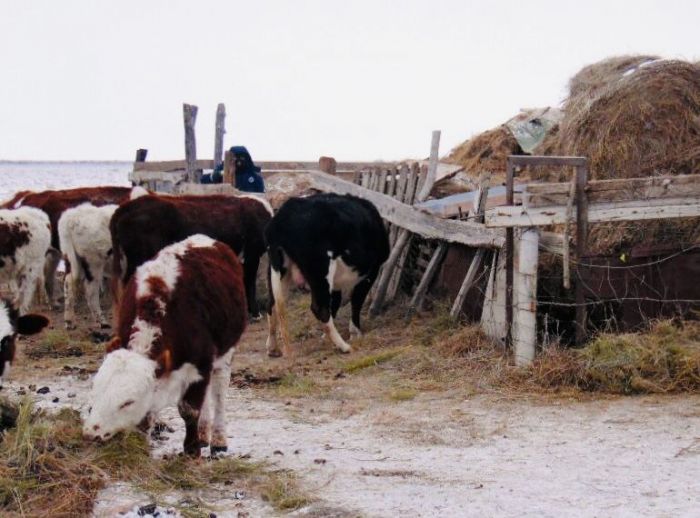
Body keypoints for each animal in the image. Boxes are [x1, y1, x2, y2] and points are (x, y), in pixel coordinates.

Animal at [83, 234, 247, 458]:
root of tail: (207, 240)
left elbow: (189, 409)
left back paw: (218, 439)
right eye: (96, 389)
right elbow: (147, 417)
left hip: (224, 353)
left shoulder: (201, 364)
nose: (91, 433)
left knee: (219, 391)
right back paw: (204, 434)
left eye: (127, 402)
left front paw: (191, 450)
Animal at [266, 193, 392, 360]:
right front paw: (355, 332)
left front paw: (326, 337)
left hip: (280, 270)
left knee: (272, 304)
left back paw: (273, 348)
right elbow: (357, 301)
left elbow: (336, 302)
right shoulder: (370, 272)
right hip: (320, 270)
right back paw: (344, 347)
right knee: (320, 308)